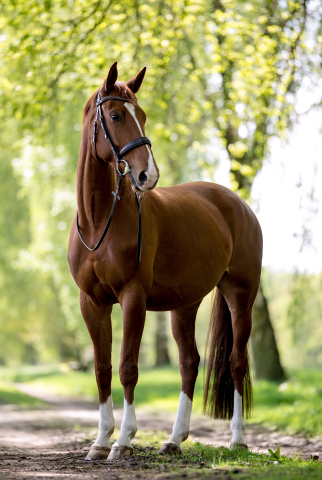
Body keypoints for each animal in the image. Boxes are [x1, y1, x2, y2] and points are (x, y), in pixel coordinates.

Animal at [67, 62, 262, 460]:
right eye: (115, 115)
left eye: (141, 115)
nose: (148, 175)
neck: (99, 222)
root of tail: (236, 203)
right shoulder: (91, 303)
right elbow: (102, 368)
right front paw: (100, 441)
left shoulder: (133, 298)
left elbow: (127, 367)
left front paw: (124, 440)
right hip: (185, 305)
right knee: (189, 364)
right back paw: (173, 440)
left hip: (241, 295)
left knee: (237, 362)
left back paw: (237, 439)